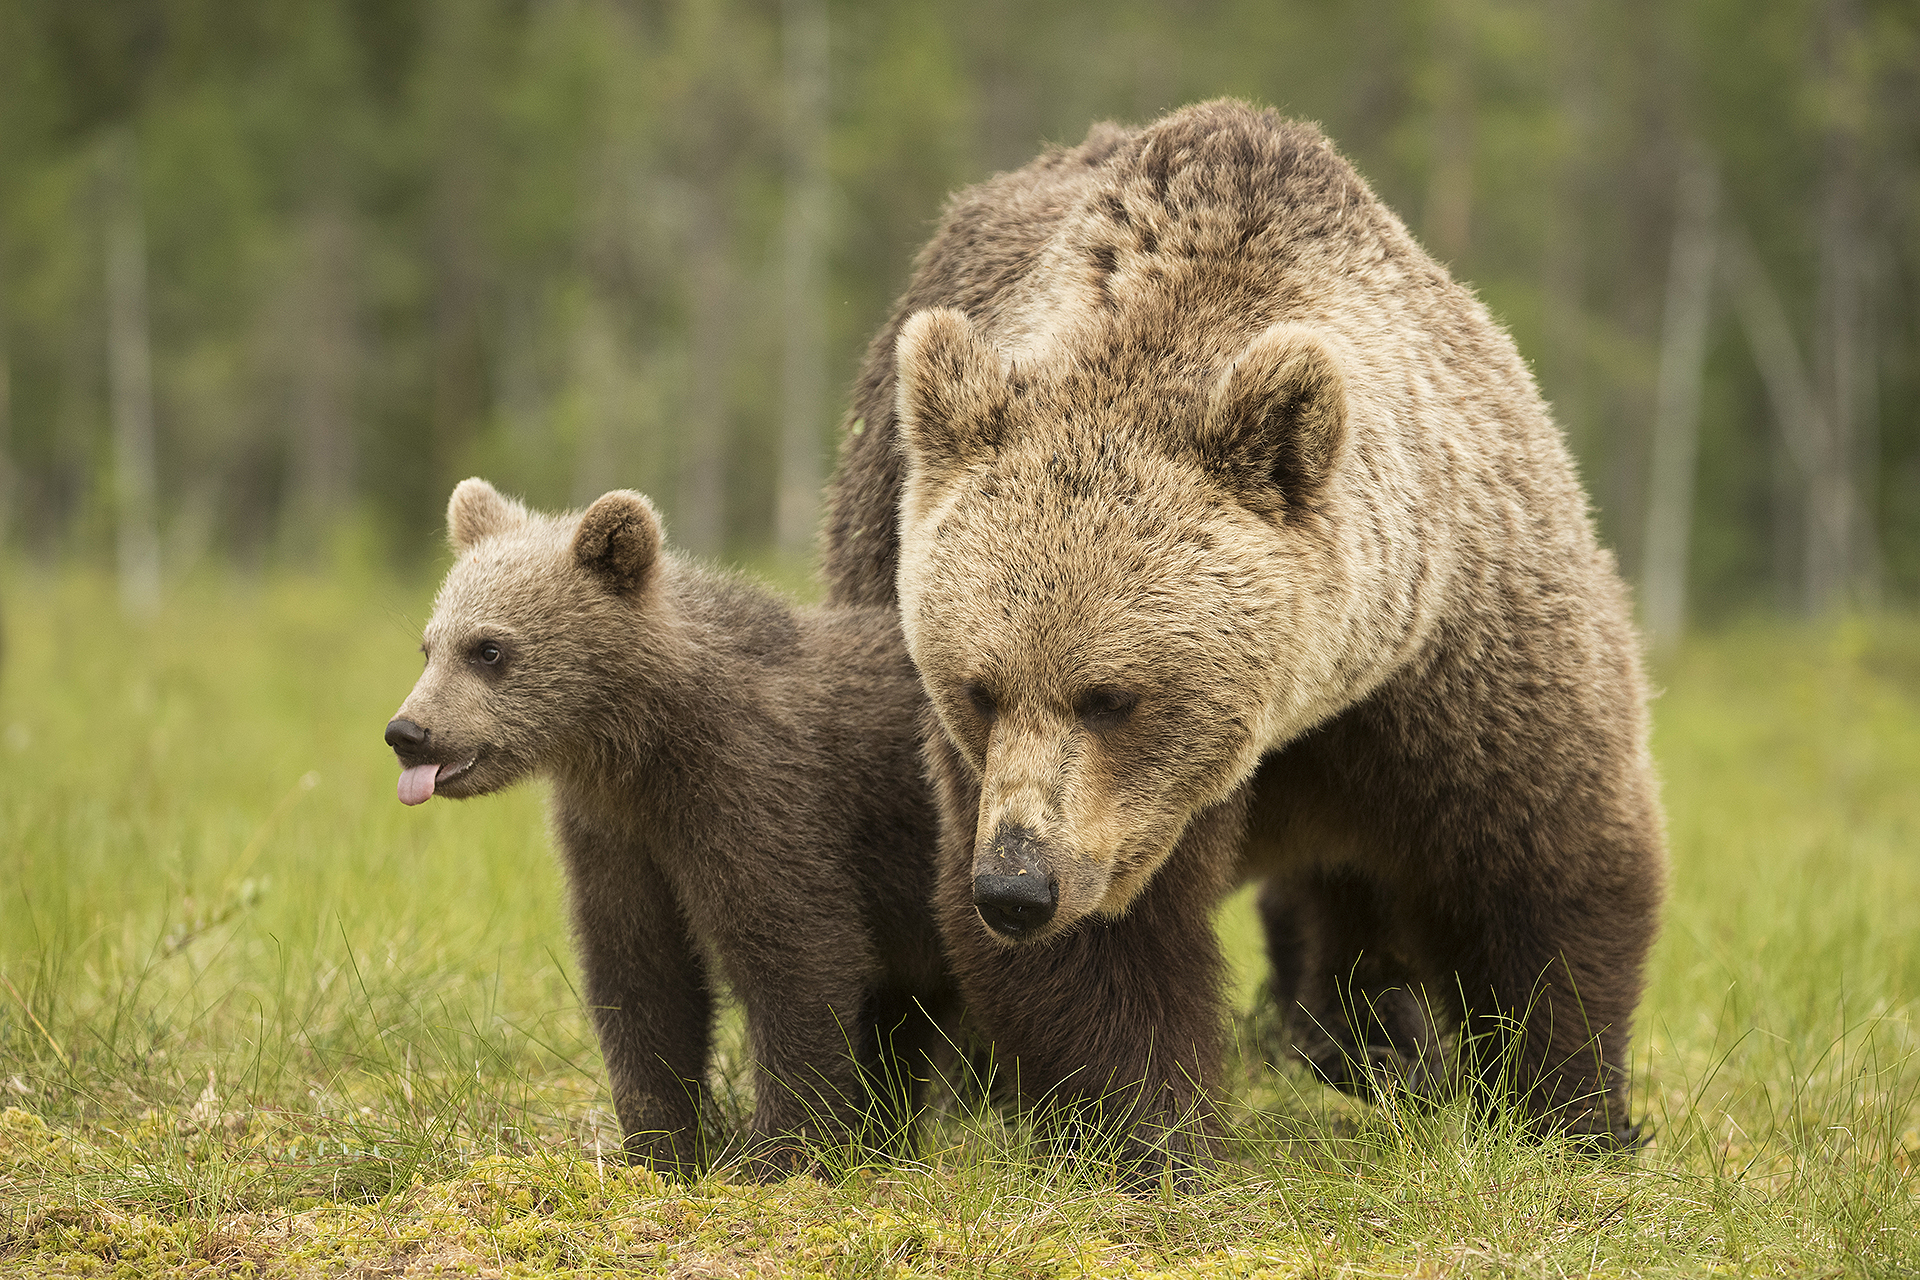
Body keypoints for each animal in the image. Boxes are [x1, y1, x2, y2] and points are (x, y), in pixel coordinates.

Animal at [385, 478, 956, 1176]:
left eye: (490, 649)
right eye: (429, 646)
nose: (407, 732)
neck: (641, 748)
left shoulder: (754, 795)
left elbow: (798, 951)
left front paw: (781, 1151)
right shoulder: (613, 832)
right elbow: (641, 971)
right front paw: (659, 1145)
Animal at [820, 99, 1665, 1170]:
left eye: (1112, 696)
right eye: (979, 687)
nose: (1016, 887)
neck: (1306, 700)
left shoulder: (1459, 647)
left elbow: (1540, 855)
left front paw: (1572, 1112)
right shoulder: (1063, 795)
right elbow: (1109, 949)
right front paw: (1151, 1132)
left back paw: (1380, 1044)